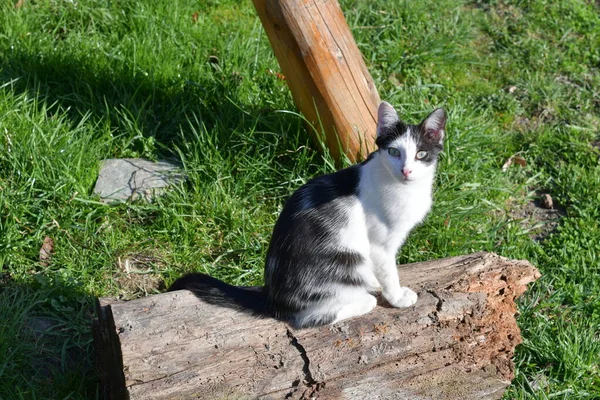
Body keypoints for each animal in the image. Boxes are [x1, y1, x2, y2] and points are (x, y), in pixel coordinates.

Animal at [169, 102, 446, 328]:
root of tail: (272, 297)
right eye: (394, 152)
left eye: (421, 154)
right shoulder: (379, 245)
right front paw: (397, 296)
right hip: (345, 262)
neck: (405, 189)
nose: (407, 171)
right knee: (309, 319)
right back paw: (364, 300)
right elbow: (388, 271)